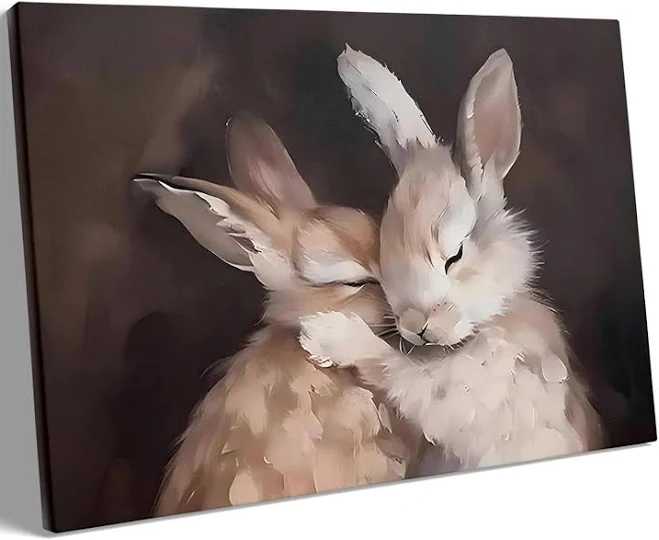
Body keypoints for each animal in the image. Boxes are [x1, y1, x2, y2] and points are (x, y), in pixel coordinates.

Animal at [298, 46, 602, 474]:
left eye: (454, 255)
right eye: (384, 255)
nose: (416, 327)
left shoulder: (471, 398)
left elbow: (399, 372)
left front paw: (326, 335)